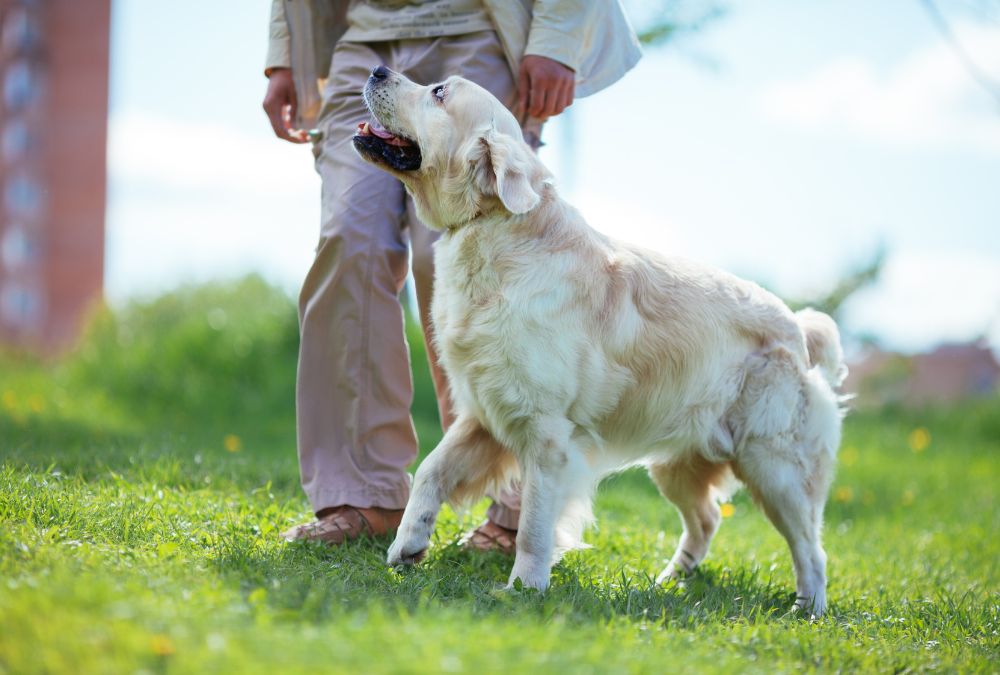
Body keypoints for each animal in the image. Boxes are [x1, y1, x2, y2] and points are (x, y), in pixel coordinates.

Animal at [356, 66, 848, 616]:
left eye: (439, 92)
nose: (377, 69)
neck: (494, 229)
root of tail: (799, 330)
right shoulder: (484, 414)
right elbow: (430, 471)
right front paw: (407, 545)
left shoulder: (547, 435)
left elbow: (533, 524)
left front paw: (524, 588)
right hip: (678, 464)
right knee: (706, 520)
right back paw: (668, 582)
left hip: (775, 467)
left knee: (811, 548)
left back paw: (808, 609)